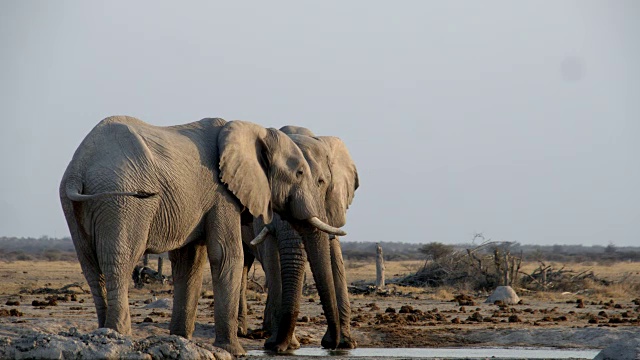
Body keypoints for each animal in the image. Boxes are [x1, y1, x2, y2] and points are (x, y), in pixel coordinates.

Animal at [58, 116, 344, 354]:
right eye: (300, 173)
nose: (333, 345)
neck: (252, 129)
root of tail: (78, 168)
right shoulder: (222, 194)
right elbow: (227, 255)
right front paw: (234, 351)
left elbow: (190, 261)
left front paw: (180, 340)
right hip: (122, 200)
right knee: (119, 262)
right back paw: (121, 336)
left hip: (75, 206)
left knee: (91, 267)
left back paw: (104, 334)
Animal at [239, 126, 360, 352]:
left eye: (320, 183)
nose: (331, 345)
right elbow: (273, 259)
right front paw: (284, 345)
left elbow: (334, 258)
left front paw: (346, 344)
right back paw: (248, 332)